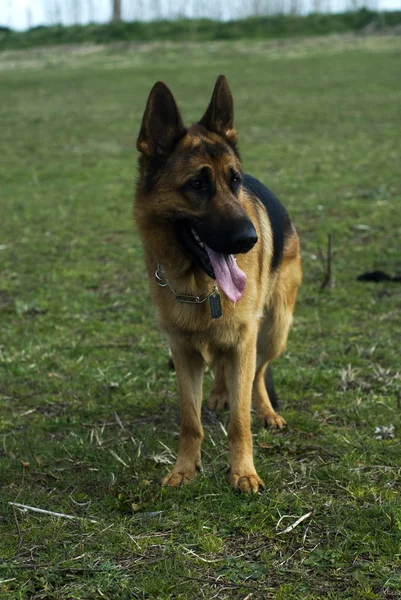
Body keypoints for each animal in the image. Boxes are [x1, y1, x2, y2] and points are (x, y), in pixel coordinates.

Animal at [134, 75, 300, 492]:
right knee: (227, 370)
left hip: (274, 329)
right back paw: (221, 393)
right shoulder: (182, 351)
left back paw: (267, 412)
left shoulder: (245, 339)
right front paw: (184, 469)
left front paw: (243, 472)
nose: (249, 239)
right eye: (197, 185)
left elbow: (240, 420)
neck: (201, 288)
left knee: (258, 374)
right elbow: (189, 420)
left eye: (234, 181)